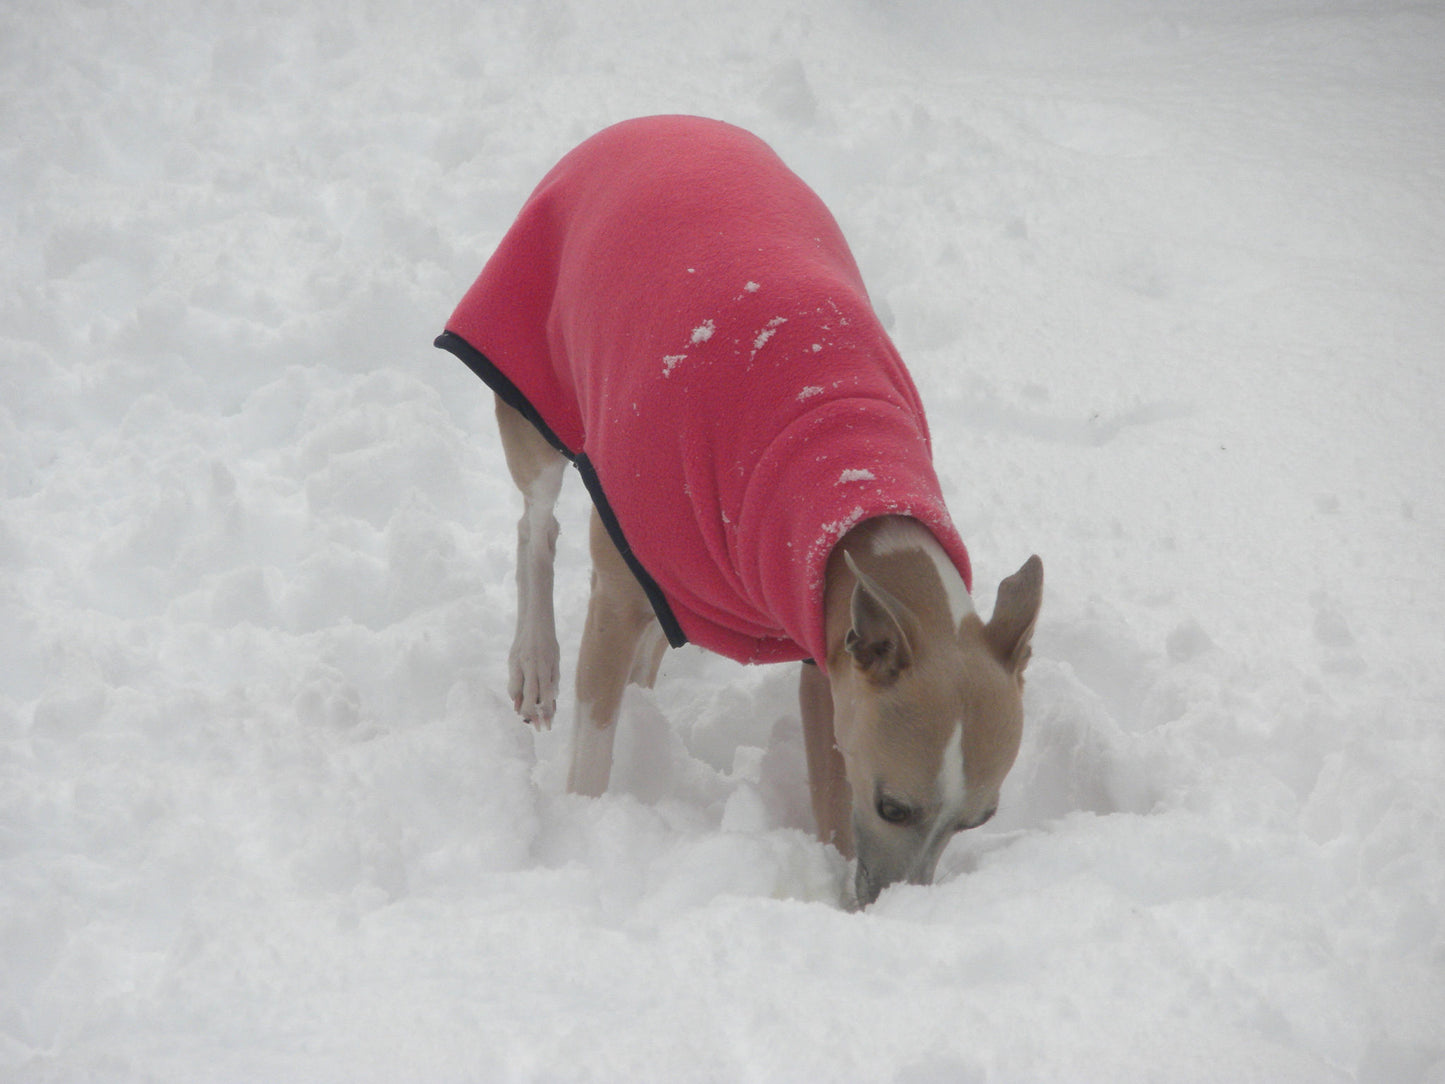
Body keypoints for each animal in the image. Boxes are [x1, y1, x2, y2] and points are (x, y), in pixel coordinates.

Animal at [433, 117, 1046, 907]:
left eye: (978, 820)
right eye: (893, 806)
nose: (887, 904)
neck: (854, 497)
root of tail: (657, 119)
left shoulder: (827, 656)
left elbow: (828, 775)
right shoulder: (623, 585)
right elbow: (592, 746)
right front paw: (582, 835)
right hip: (534, 383)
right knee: (535, 524)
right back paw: (536, 660)